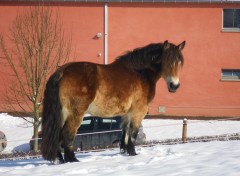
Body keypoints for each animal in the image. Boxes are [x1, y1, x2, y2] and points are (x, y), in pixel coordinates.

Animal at [40, 40, 186, 164]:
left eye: (179, 63)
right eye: (166, 61)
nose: (174, 86)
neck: (140, 73)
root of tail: (62, 71)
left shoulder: (127, 113)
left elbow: (125, 132)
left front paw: (125, 152)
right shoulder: (139, 111)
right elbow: (133, 133)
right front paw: (133, 153)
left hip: (63, 113)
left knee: (57, 134)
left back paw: (59, 159)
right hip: (76, 113)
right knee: (67, 133)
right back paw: (72, 160)